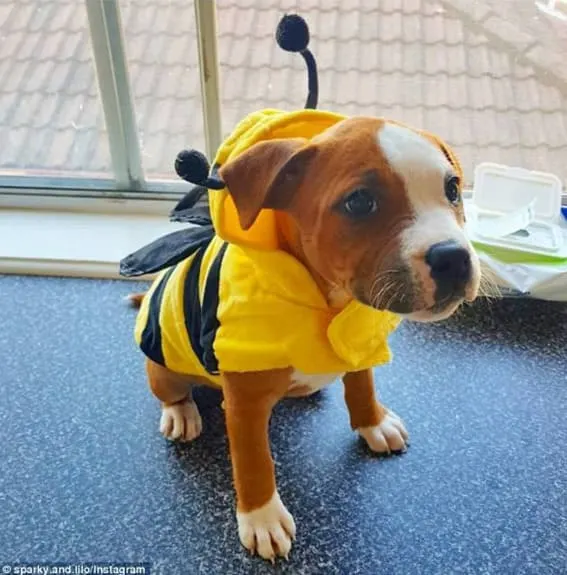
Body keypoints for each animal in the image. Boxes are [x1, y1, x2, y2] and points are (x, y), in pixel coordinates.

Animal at [126, 113, 482, 564]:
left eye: (452, 189)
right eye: (360, 202)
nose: (453, 256)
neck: (329, 302)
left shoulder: (356, 341)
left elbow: (361, 384)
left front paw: (373, 422)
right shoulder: (243, 406)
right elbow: (254, 462)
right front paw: (262, 518)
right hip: (163, 365)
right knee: (170, 390)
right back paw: (182, 413)